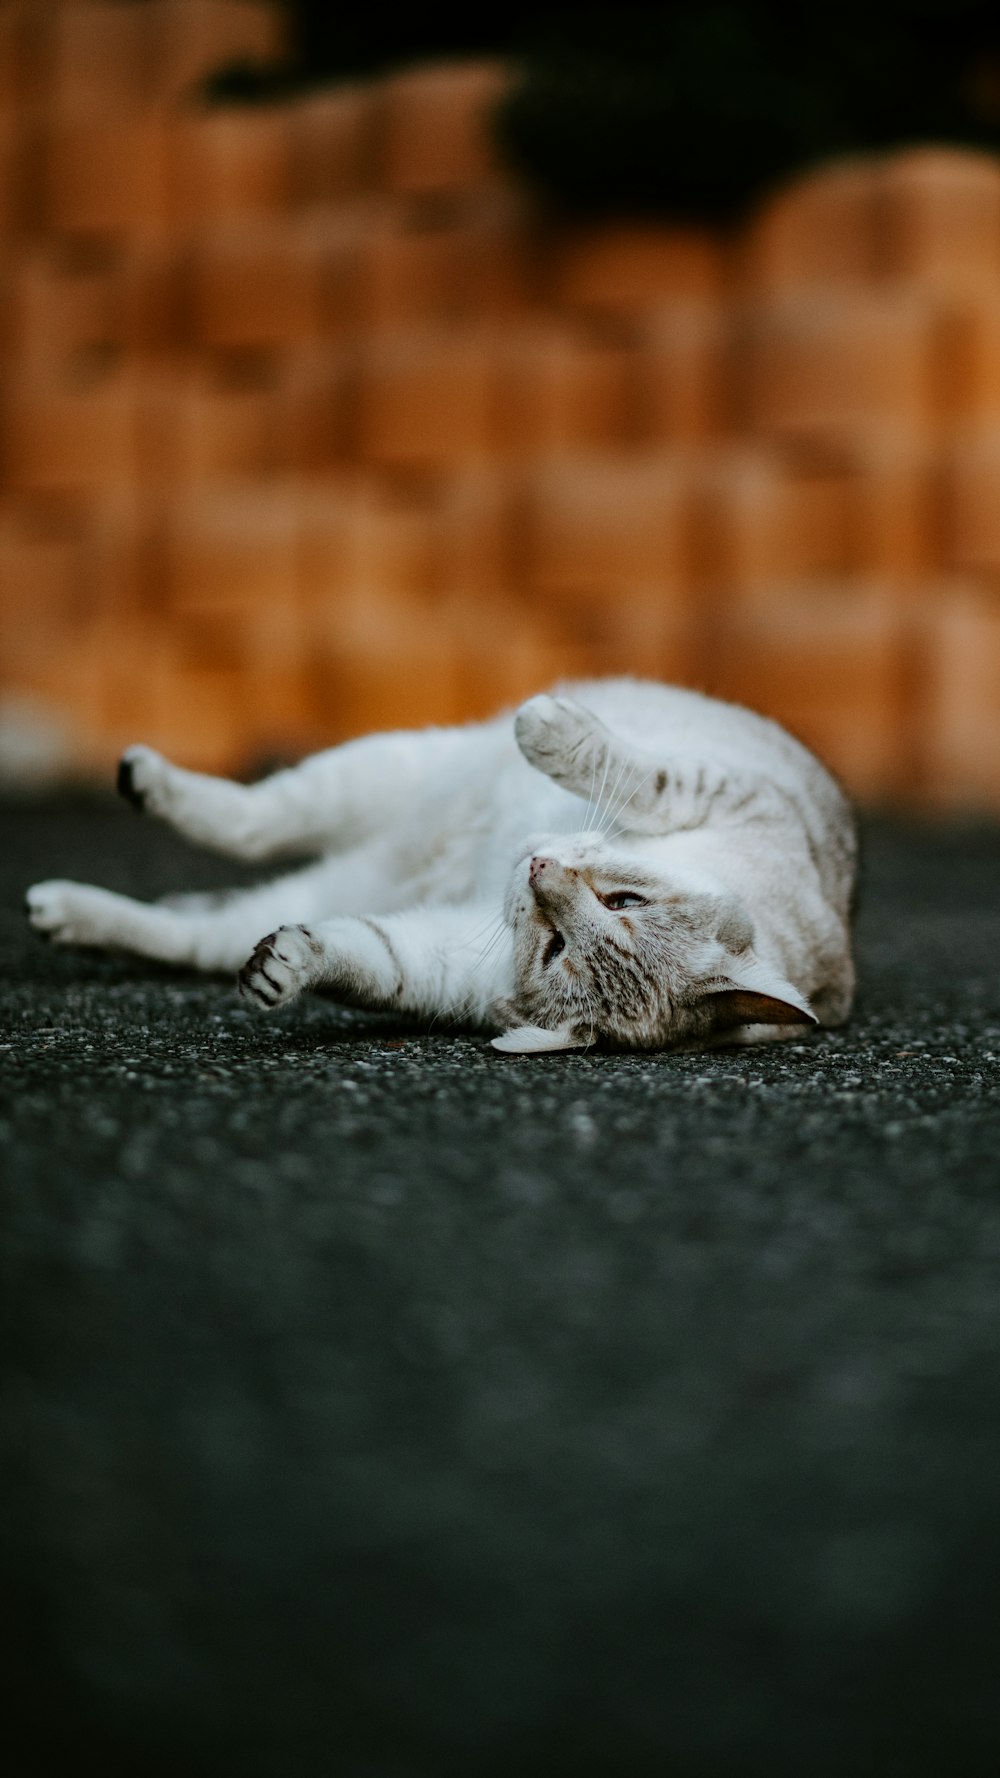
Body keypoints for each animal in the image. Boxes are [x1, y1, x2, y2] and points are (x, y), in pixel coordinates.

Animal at [23, 672, 854, 1045]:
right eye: (626, 901)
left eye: (555, 948)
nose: (536, 870)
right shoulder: (737, 794)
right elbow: (646, 776)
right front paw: (552, 729)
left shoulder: (449, 960)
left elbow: (368, 954)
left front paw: (291, 966)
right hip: (383, 770)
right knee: (253, 820)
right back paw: (143, 779)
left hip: (331, 869)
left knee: (205, 917)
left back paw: (65, 909)